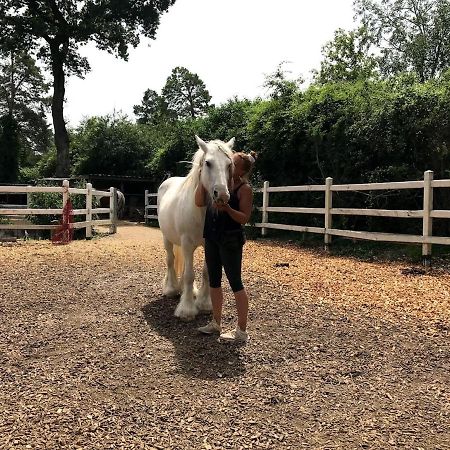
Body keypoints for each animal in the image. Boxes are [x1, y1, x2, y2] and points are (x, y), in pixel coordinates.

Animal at [157, 135, 236, 318]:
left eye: (229, 164)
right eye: (208, 163)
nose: (222, 195)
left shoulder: (210, 244)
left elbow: (206, 273)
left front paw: (204, 303)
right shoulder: (186, 243)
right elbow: (189, 274)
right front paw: (186, 310)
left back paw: (190, 291)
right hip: (167, 239)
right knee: (170, 260)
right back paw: (171, 289)